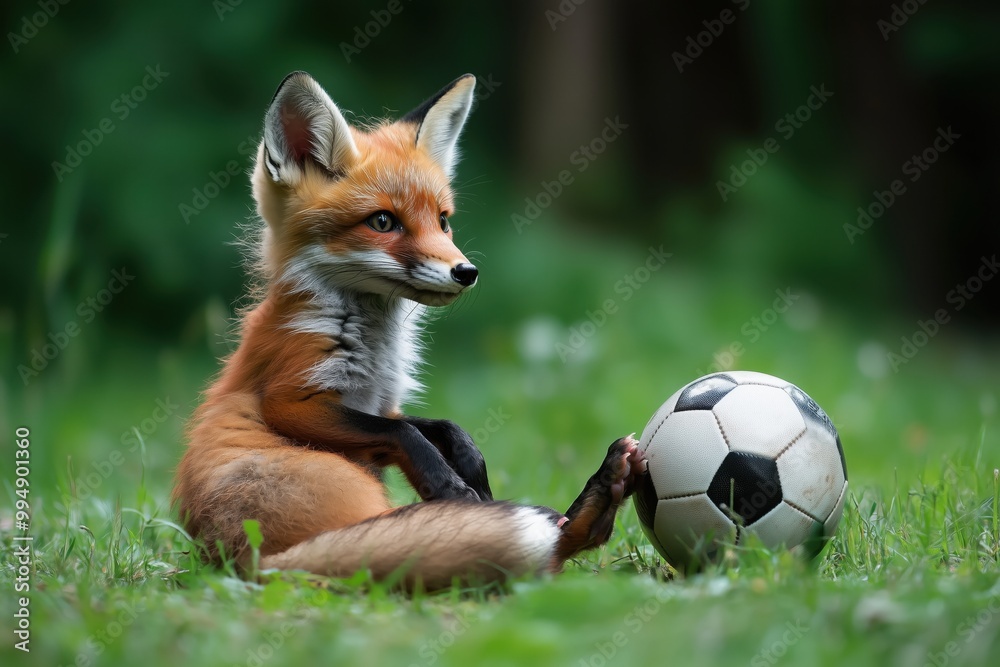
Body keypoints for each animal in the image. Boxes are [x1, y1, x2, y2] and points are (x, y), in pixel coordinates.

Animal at [172, 71, 648, 590]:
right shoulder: (294, 397)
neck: (374, 343)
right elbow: (404, 435)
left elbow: (436, 427)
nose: (466, 272)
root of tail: (249, 564)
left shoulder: (380, 407)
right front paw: (452, 488)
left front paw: (472, 469)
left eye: (443, 220)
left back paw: (601, 492)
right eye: (383, 221)